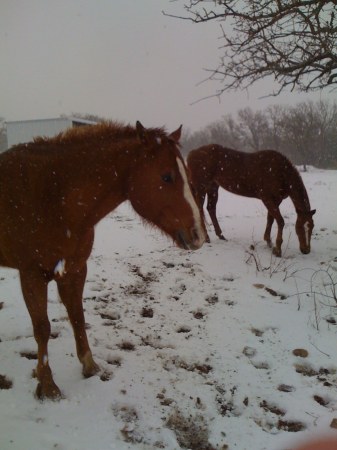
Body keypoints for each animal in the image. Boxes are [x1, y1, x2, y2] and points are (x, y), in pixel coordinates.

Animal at [0, 120, 206, 400]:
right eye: (166, 176)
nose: (199, 235)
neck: (53, 196)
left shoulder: (74, 269)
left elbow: (77, 316)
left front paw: (89, 366)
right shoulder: (31, 275)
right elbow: (42, 328)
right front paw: (48, 385)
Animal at [186, 144, 316, 256]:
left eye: (312, 226)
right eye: (300, 227)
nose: (306, 250)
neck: (280, 172)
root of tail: (192, 153)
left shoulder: (276, 200)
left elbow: (270, 219)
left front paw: (268, 241)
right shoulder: (267, 199)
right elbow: (280, 221)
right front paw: (277, 249)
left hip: (213, 187)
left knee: (211, 208)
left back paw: (221, 235)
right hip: (201, 188)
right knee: (200, 209)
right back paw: (207, 238)